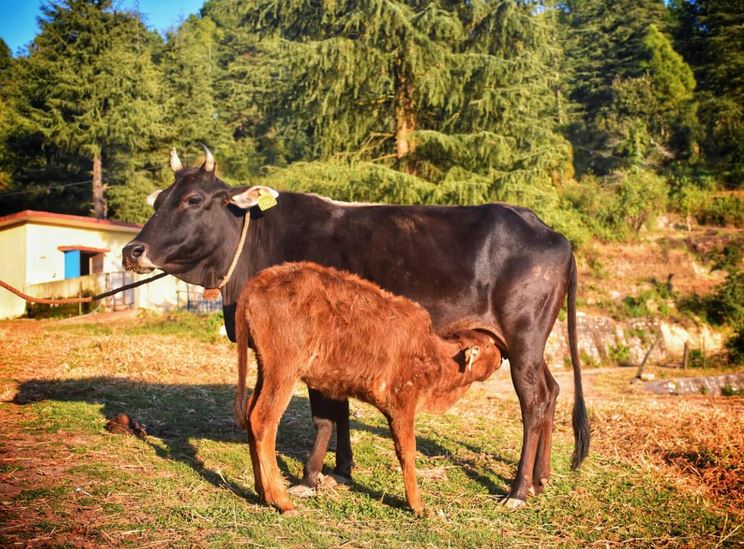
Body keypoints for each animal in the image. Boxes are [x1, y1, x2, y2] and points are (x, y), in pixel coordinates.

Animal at [234, 261, 504, 515]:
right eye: (488, 345)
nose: (502, 356)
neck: (435, 354)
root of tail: (261, 280)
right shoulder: (402, 406)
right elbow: (407, 452)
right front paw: (417, 505)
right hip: (283, 373)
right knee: (263, 420)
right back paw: (282, 501)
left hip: (265, 371)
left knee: (251, 414)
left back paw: (263, 493)